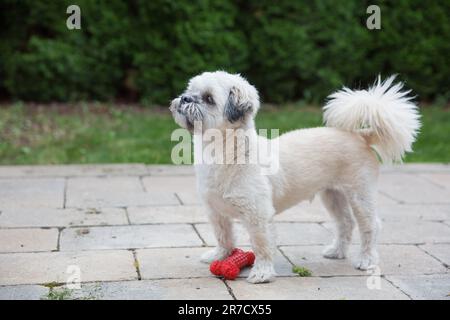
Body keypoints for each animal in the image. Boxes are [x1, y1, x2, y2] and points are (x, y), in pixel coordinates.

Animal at [169, 71, 418, 284]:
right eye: (190, 90)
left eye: (209, 98)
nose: (184, 98)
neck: (225, 154)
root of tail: (360, 136)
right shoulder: (216, 212)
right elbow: (224, 237)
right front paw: (220, 256)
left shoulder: (258, 215)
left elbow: (261, 245)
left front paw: (262, 273)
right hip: (333, 195)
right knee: (345, 223)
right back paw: (336, 251)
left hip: (360, 195)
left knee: (370, 226)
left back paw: (366, 260)